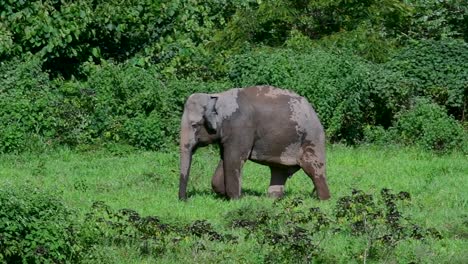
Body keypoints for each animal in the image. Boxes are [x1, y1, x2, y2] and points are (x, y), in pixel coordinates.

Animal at [178, 85, 330, 201]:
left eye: (194, 125)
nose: (184, 200)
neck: (217, 97)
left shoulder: (241, 127)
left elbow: (234, 158)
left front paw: (236, 200)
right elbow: (225, 158)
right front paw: (232, 196)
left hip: (312, 138)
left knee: (313, 169)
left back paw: (323, 201)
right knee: (279, 170)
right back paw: (272, 200)